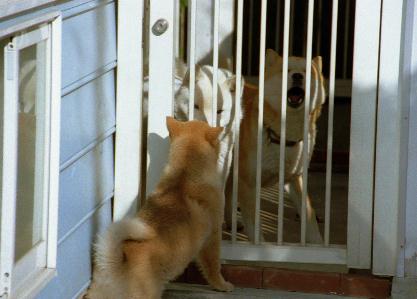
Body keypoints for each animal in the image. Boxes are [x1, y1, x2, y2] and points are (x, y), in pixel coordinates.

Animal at [231, 49, 324, 245]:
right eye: (286, 70)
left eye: (307, 72)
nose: (297, 76)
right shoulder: (248, 183)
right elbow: (255, 224)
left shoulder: (295, 178)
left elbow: (309, 216)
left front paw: (319, 244)